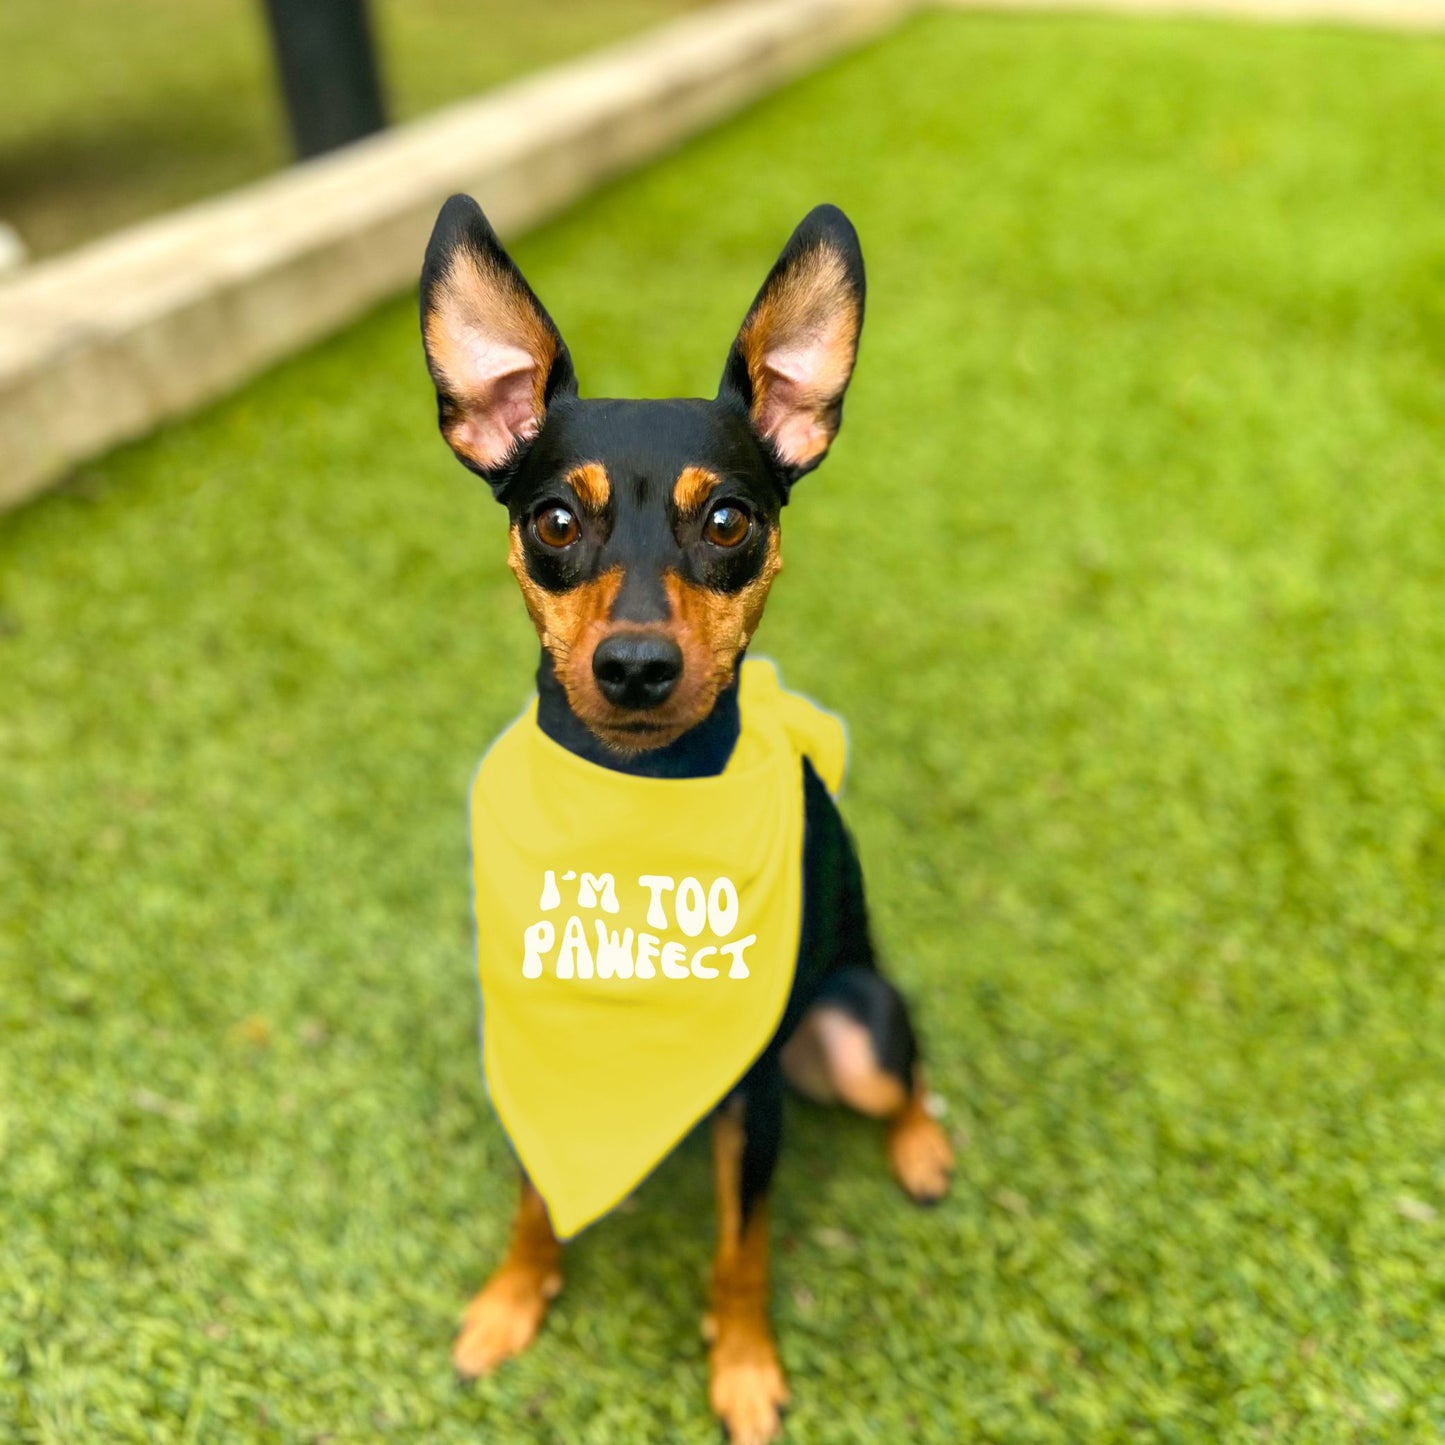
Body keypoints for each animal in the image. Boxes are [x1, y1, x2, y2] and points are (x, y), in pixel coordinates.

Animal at [421, 195, 959, 1445]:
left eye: (726, 519)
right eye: (551, 518)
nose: (632, 666)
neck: (636, 811)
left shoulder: (751, 1103)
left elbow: (740, 1250)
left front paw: (744, 1364)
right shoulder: (531, 1040)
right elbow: (532, 1196)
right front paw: (511, 1298)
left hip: (855, 1027)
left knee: (905, 1070)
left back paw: (922, 1145)